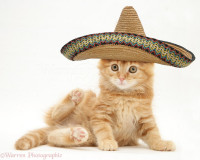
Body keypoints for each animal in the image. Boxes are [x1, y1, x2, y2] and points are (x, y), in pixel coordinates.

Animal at [15, 59, 175, 151]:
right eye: (114, 67)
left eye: (133, 69)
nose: (121, 78)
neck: (124, 96)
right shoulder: (100, 114)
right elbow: (104, 131)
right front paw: (108, 143)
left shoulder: (145, 118)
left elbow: (153, 133)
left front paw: (161, 144)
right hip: (74, 109)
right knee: (55, 115)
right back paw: (75, 97)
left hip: (87, 138)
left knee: (53, 137)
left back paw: (75, 134)